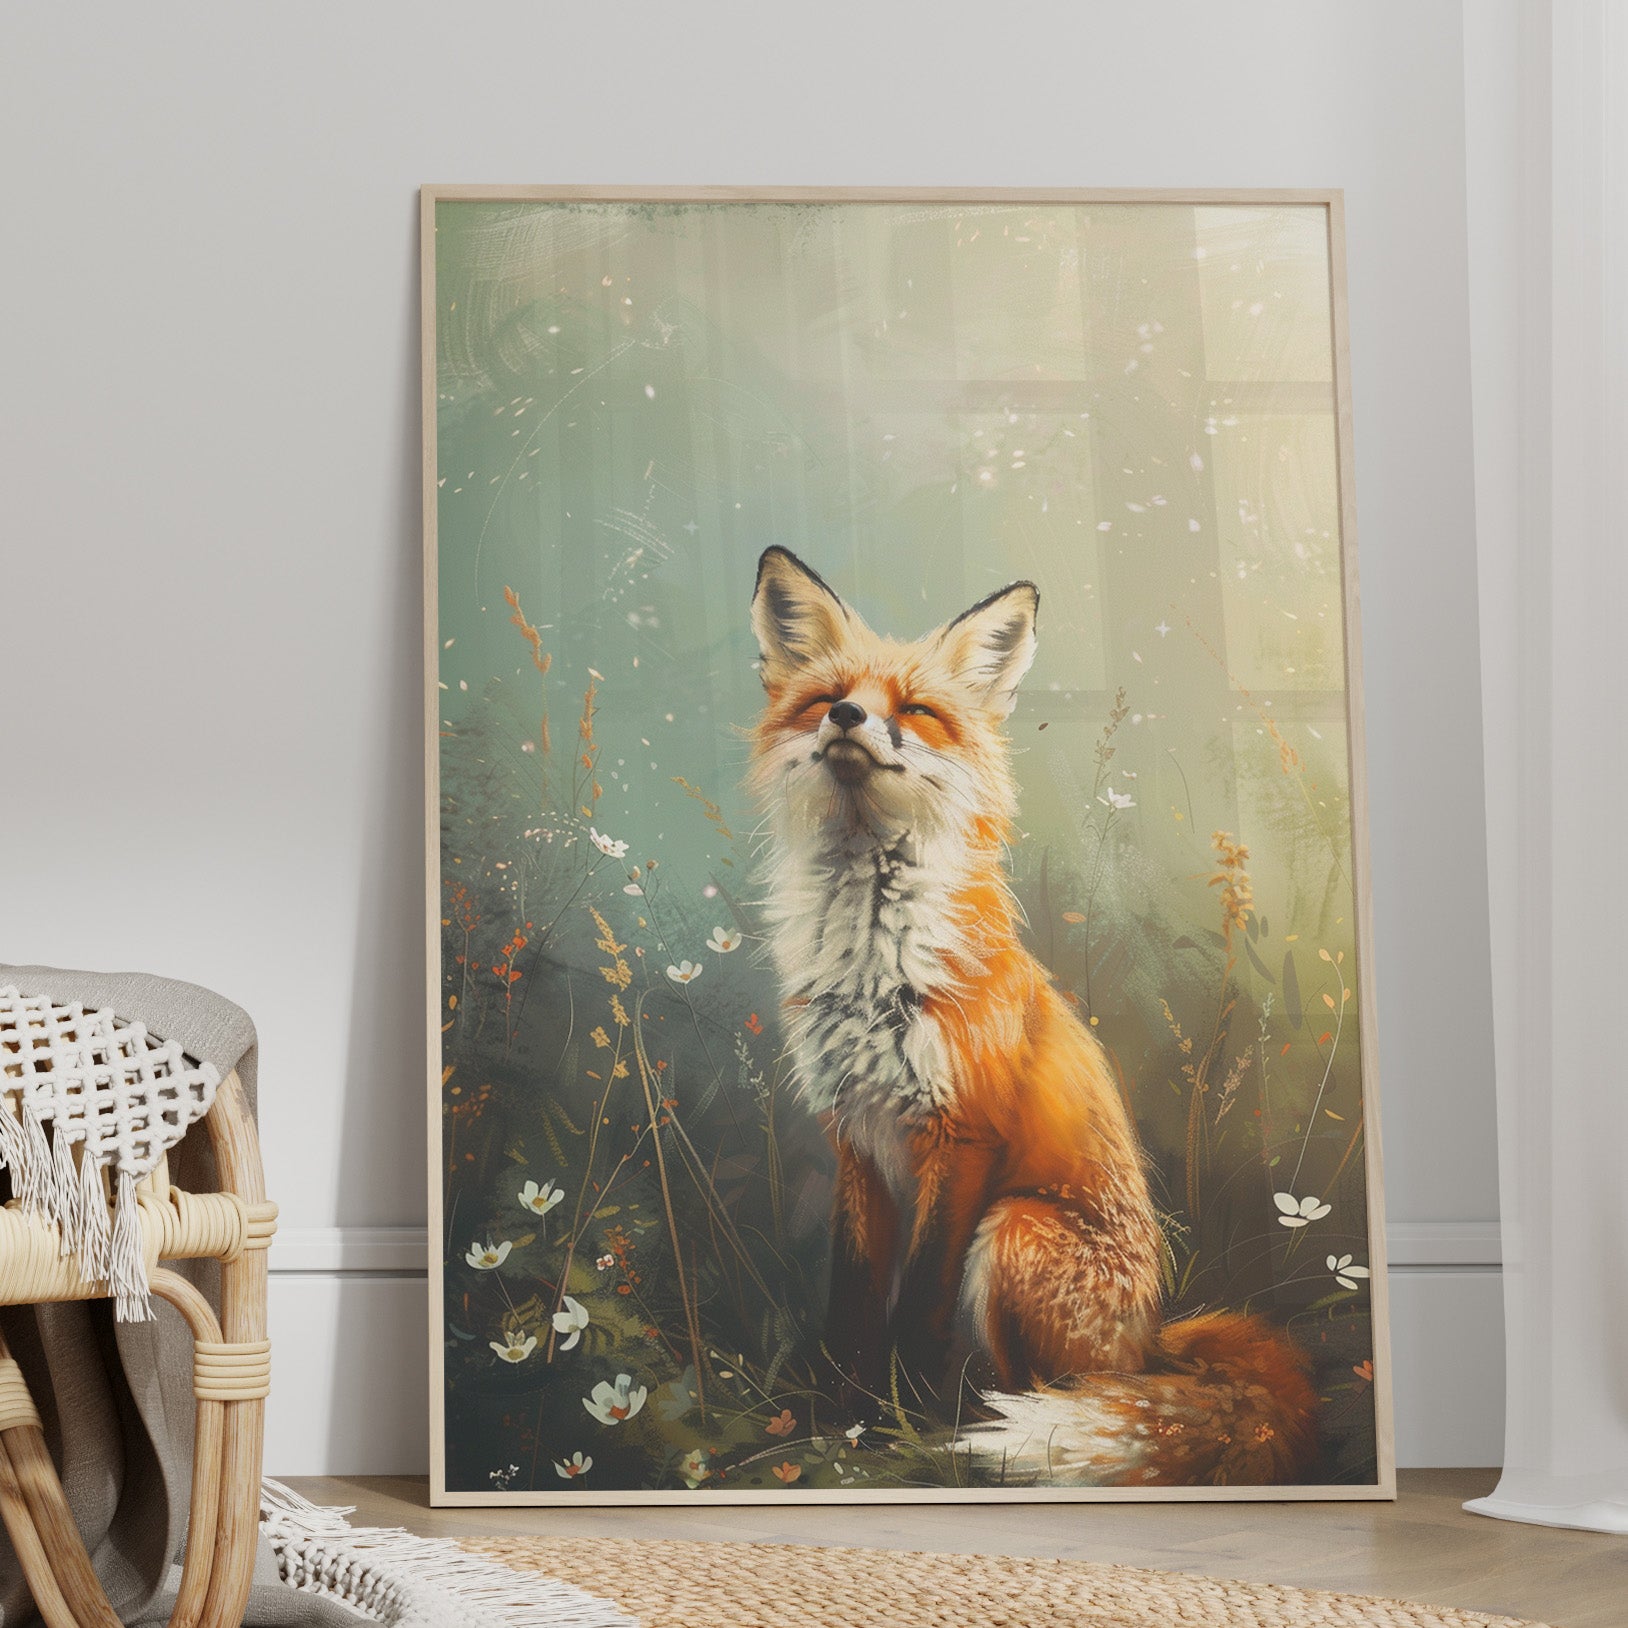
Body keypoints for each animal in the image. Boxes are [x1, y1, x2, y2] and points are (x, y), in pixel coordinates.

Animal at [747, 545, 1317, 1487]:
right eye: (826, 695)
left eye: (917, 710)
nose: (847, 716)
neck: (874, 959)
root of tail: (1151, 1343)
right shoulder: (855, 1139)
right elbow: (851, 1302)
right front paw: (839, 1419)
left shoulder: (962, 1133)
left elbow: (917, 1310)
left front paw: (898, 1425)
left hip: (1015, 1228)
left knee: (1060, 1394)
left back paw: (999, 1429)